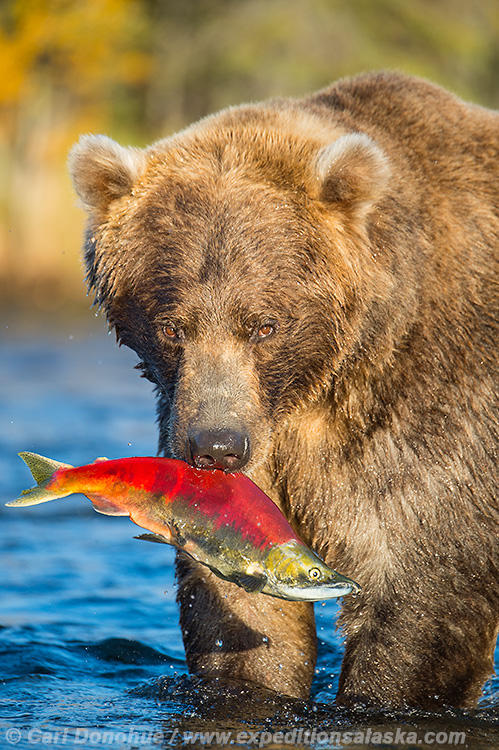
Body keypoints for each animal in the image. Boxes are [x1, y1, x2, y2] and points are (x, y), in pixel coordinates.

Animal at [68, 70, 499, 712]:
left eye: (264, 324)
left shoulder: (436, 410)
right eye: (172, 326)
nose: (216, 447)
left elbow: (423, 590)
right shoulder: (248, 449)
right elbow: (246, 608)